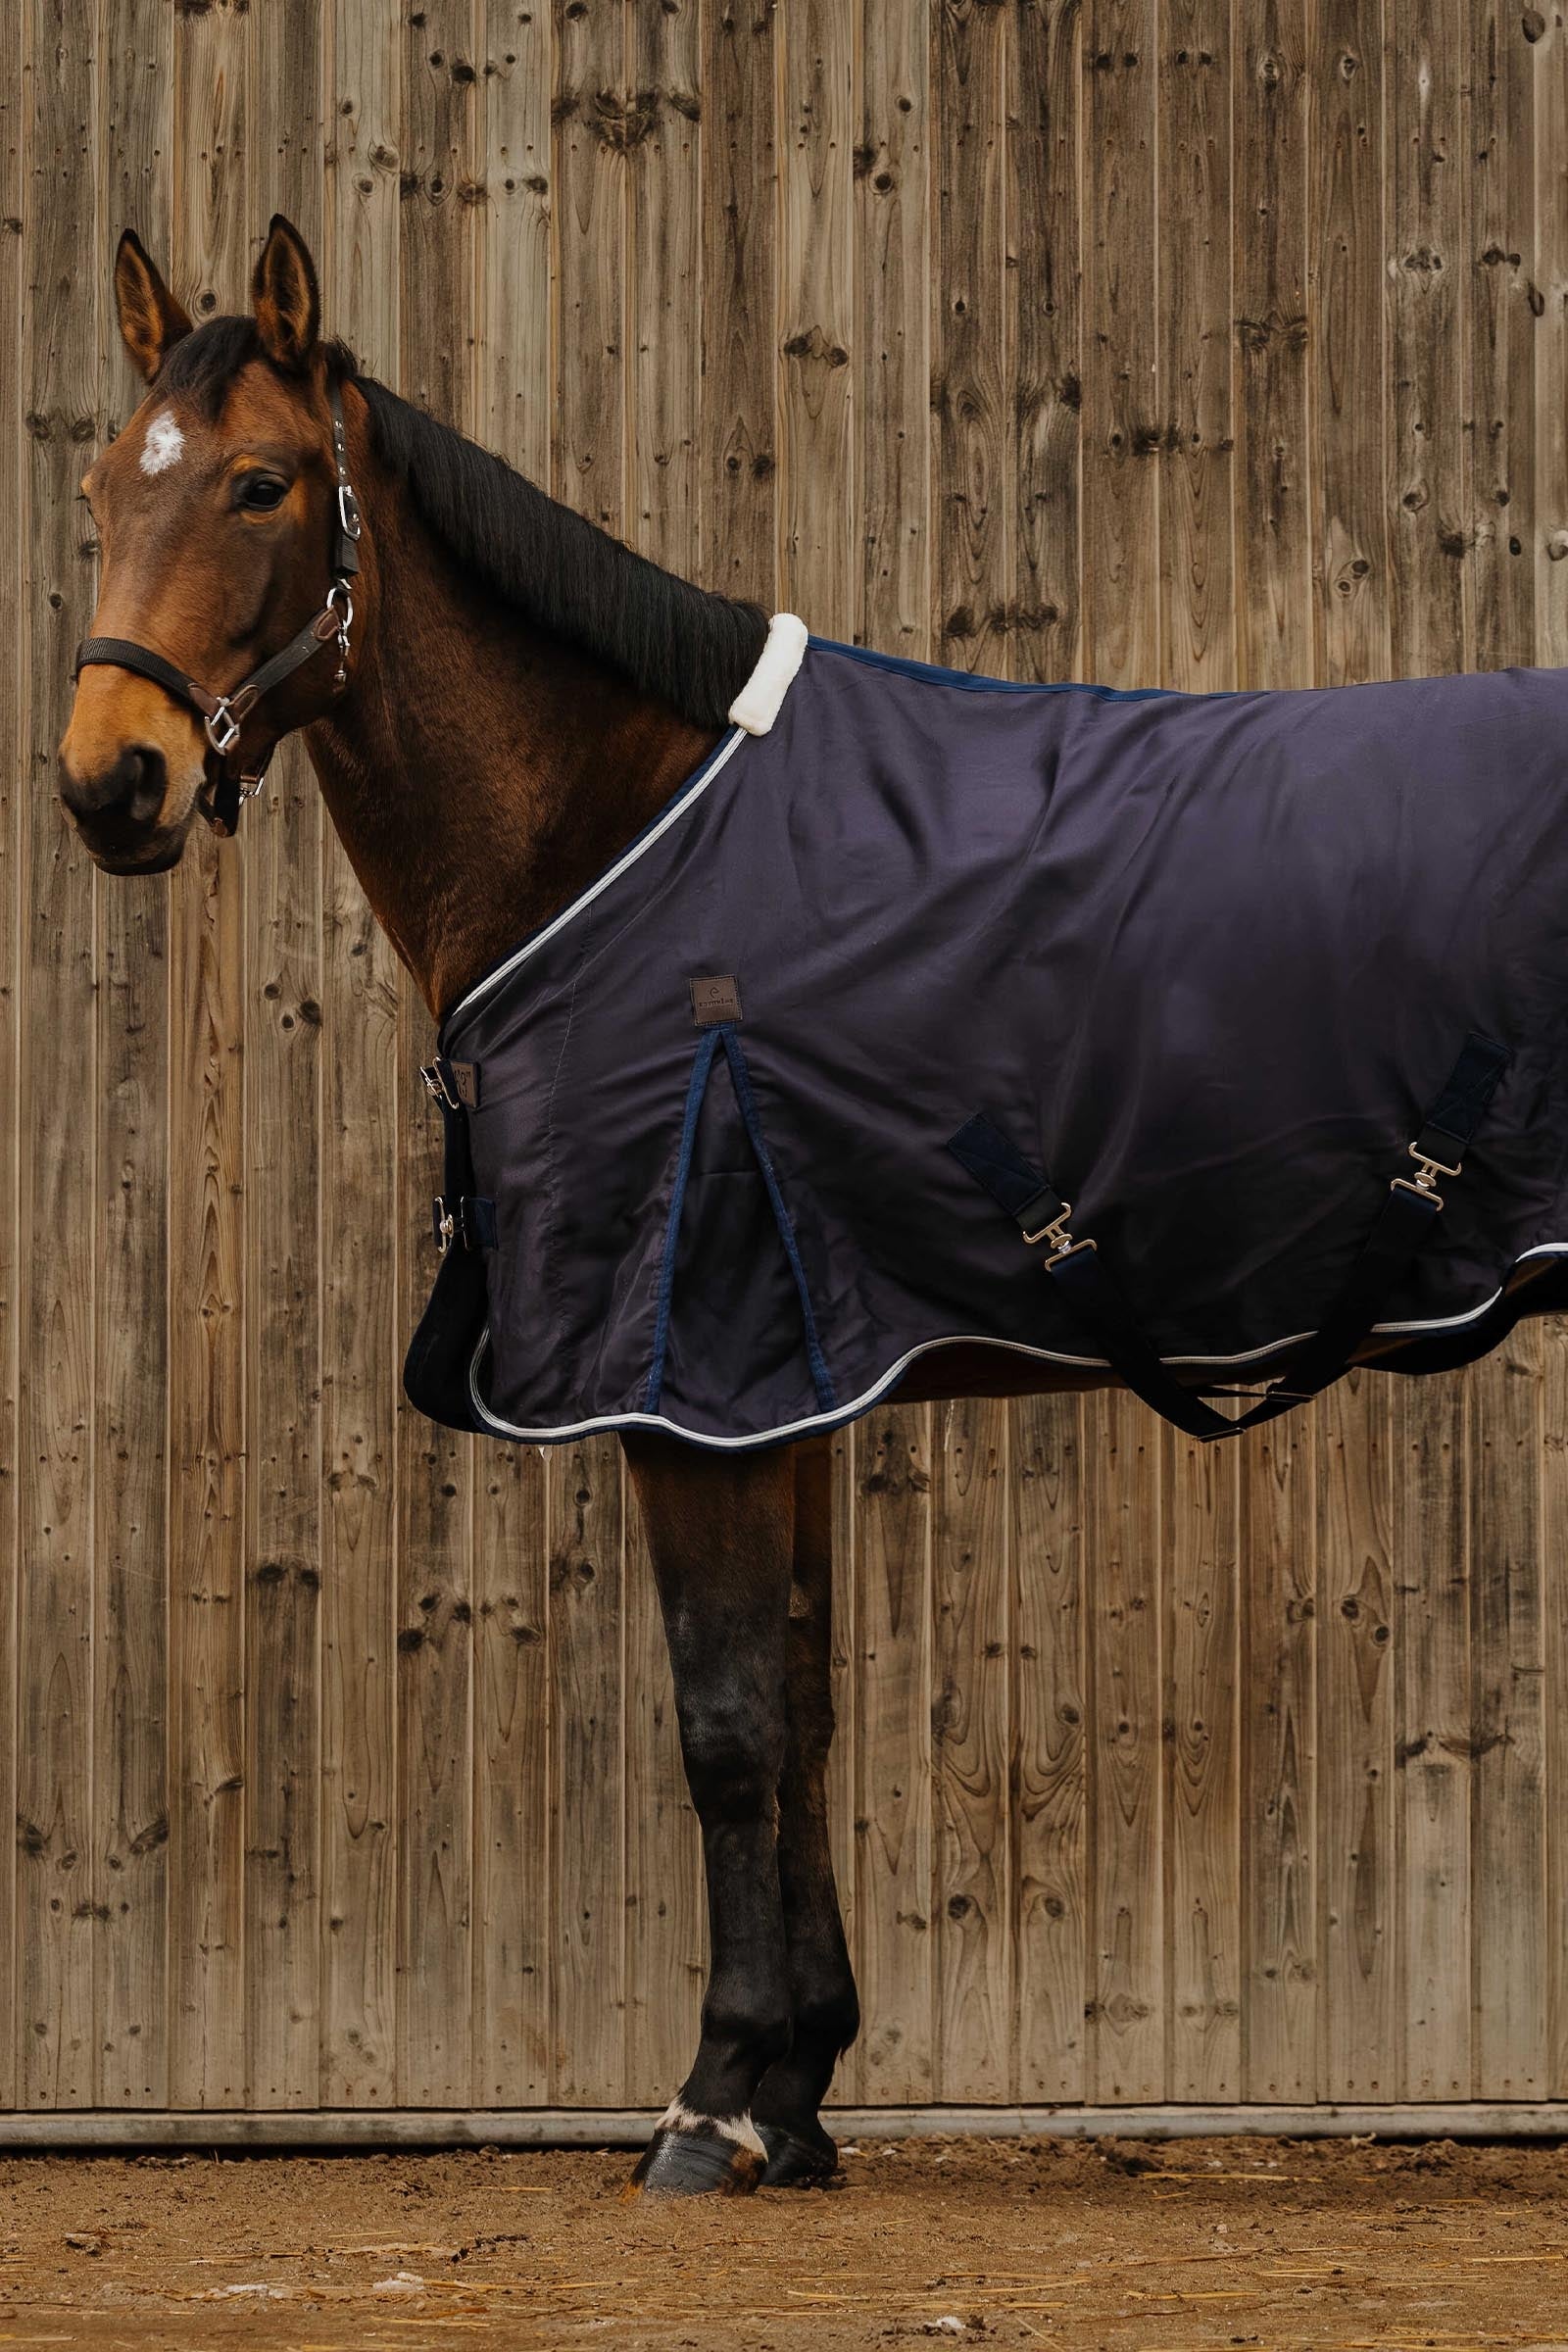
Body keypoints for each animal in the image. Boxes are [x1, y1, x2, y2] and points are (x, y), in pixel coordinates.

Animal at [58, 215, 1568, 2192]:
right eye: (99, 487)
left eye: (260, 483)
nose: (111, 782)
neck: (623, 829)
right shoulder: (782, 1377)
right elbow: (808, 1703)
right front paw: (801, 2085)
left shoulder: (685, 1372)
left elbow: (727, 1725)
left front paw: (712, 2106)